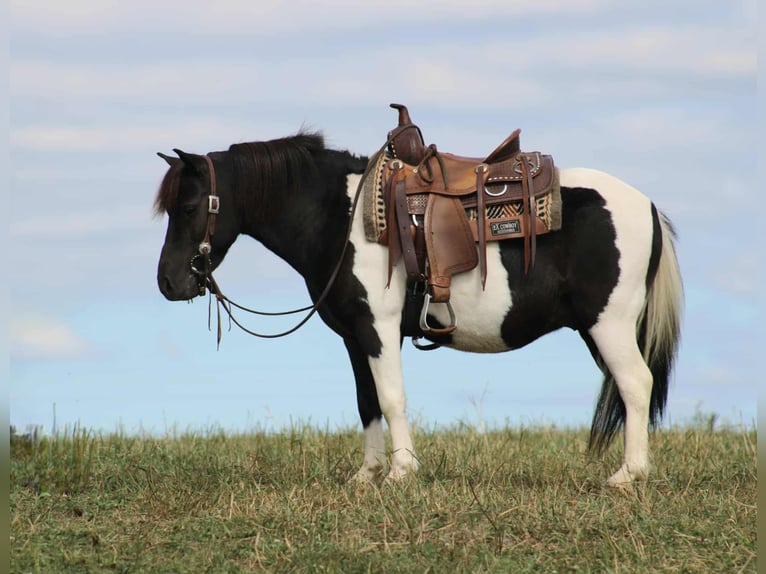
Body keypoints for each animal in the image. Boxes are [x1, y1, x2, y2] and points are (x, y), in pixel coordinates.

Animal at [154, 127, 682, 487]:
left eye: (188, 207)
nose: (167, 283)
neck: (340, 218)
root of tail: (646, 205)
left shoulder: (379, 327)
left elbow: (392, 398)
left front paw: (401, 472)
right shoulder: (354, 335)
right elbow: (367, 401)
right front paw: (366, 475)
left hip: (609, 323)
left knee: (636, 385)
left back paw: (628, 475)